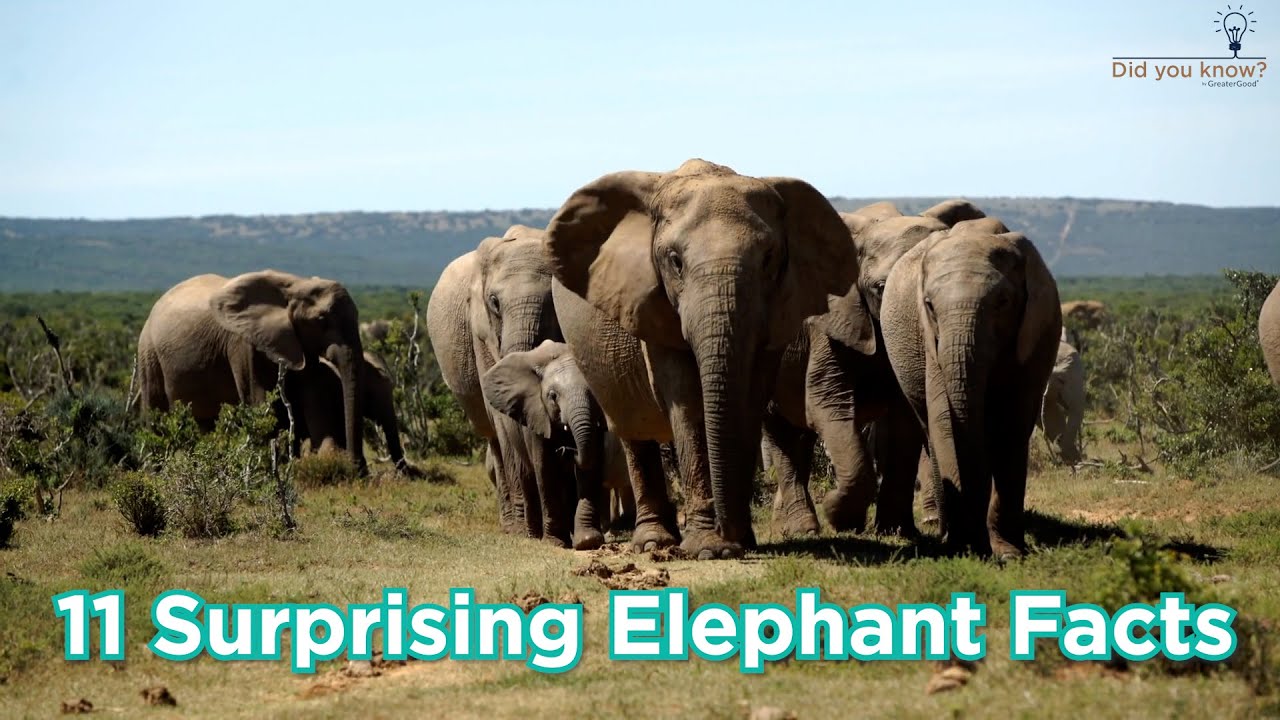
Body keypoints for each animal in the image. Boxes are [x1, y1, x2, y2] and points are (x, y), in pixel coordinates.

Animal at [137, 270, 368, 471]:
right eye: (321, 321)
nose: (357, 467)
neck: (296, 284)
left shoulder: (299, 342)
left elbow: (313, 395)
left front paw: (325, 461)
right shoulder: (243, 343)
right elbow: (259, 400)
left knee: (204, 423)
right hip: (148, 352)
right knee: (156, 416)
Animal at [481, 340, 635, 547]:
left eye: (594, 392)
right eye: (553, 396)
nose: (567, 449)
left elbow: (591, 467)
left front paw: (587, 541)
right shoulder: (537, 415)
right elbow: (546, 469)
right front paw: (555, 542)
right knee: (527, 476)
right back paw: (533, 536)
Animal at [544, 158, 868, 559]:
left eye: (769, 259)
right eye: (675, 261)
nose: (730, 534)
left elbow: (750, 399)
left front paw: (738, 542)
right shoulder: (652, 303)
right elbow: (686, 402)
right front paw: (710, 548)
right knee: (633, 430)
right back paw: (654, 542)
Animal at [763, 199, 996, 539]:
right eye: (881, 287)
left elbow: (903, 421)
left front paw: (895, 530)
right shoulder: (830, 322)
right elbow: (825, 402)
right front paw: (840, 516)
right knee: (779, 430)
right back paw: (803, 529)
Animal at [881, 223, 1062, 558]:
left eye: (1003, 302)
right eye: (929, 305)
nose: (976, 546)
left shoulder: (1034, 338)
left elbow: (1012, 424)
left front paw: (1009, 552)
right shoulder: (932, 344)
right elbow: (944, 422)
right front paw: (965, 548)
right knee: (930, 432)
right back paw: (944, 533)